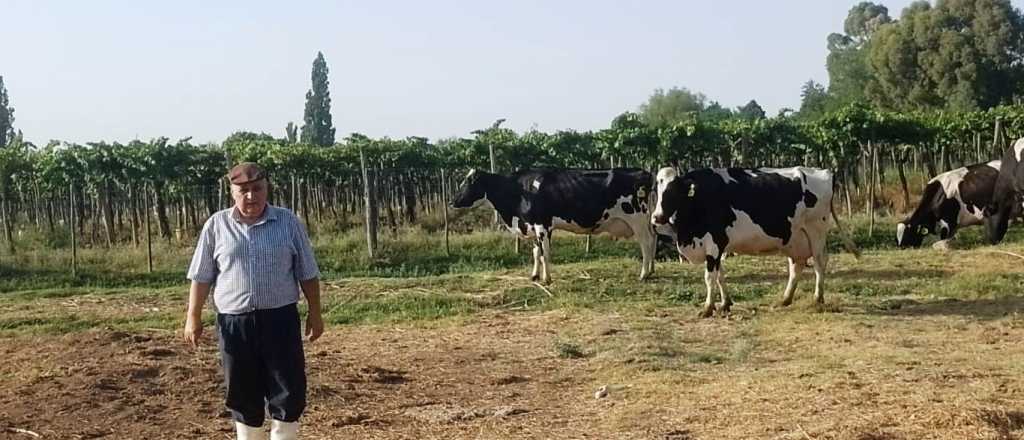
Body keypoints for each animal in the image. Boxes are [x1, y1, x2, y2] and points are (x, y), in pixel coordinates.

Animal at [448, 166, 655, 284]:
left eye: (468, 182)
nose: (451, 201)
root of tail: (643, 172)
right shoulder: (532, 225)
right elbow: (535, 253)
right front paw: (534, 276)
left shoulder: (542, 225)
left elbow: (545, 254)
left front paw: (547, 279)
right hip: (645, 220)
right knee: (653, 240)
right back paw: (651, 271)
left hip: (637, 219)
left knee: (646, 244)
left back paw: (644, 274)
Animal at [651, 165, 851, 317]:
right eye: (657, 191)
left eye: (673, 190)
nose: (657, 217)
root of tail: (824, 172)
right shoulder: (717, 247)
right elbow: (720, 276)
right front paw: (725, 303)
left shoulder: (715, 243)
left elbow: (710, 277)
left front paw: (708, 308)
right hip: (795, 239)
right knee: (797, 265)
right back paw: (785, 299)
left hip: (816, 231)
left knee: (819, 263)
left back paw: (817, 299)